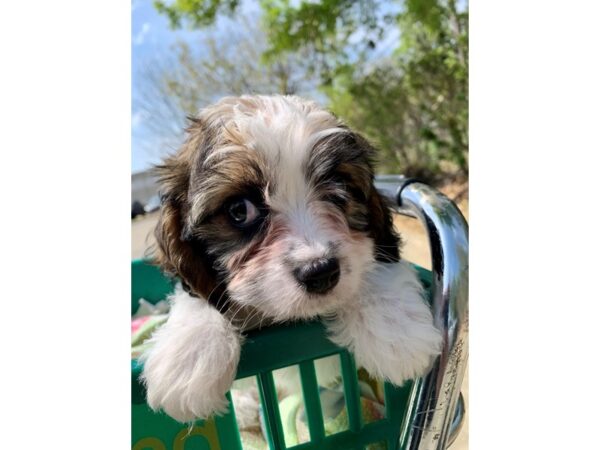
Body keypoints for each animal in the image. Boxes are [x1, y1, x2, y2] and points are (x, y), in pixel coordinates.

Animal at [139, 94, 440, 422]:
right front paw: (190, 353)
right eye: (239, 210)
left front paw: (395, 328)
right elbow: (199, 294)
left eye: (342, 190)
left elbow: (376, 262)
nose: (320, 271)